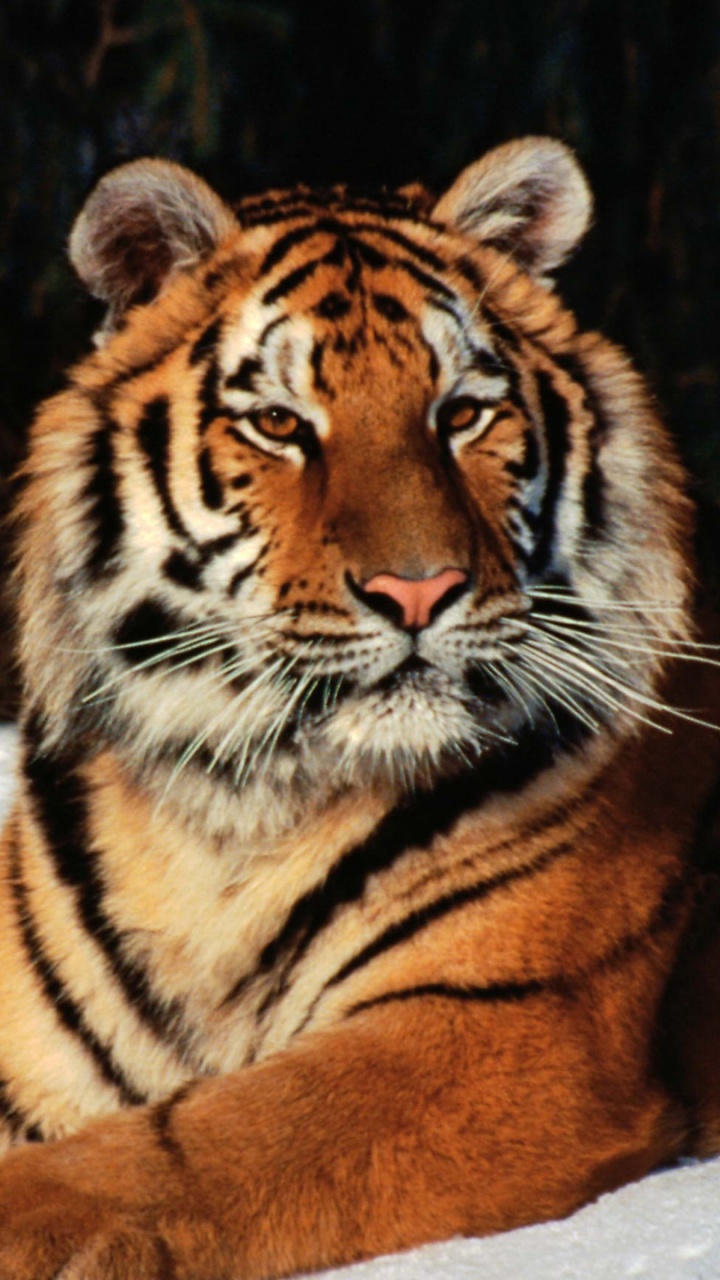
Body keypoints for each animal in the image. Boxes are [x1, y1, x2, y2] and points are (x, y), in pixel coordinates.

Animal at [0, 134, 719, 1280]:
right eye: (279, 424)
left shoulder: (496, 1028)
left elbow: (185, 1147)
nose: (419, 591)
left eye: (461, 413)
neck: (230, 811)